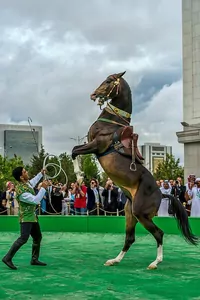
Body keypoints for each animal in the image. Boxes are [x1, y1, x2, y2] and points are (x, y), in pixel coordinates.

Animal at [71, 72, 198, 270]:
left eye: (109, 81)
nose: (93, 94)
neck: (111, 124)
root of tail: (162, 194)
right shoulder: (91, 145)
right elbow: (75, 150)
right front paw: (79, 176)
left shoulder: (96, 145)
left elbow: (74, 151)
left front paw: (79, 177)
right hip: (130, 212)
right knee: (130, 238)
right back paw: (114, 260)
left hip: (140, 213)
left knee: (159, 233)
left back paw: (155, 262)